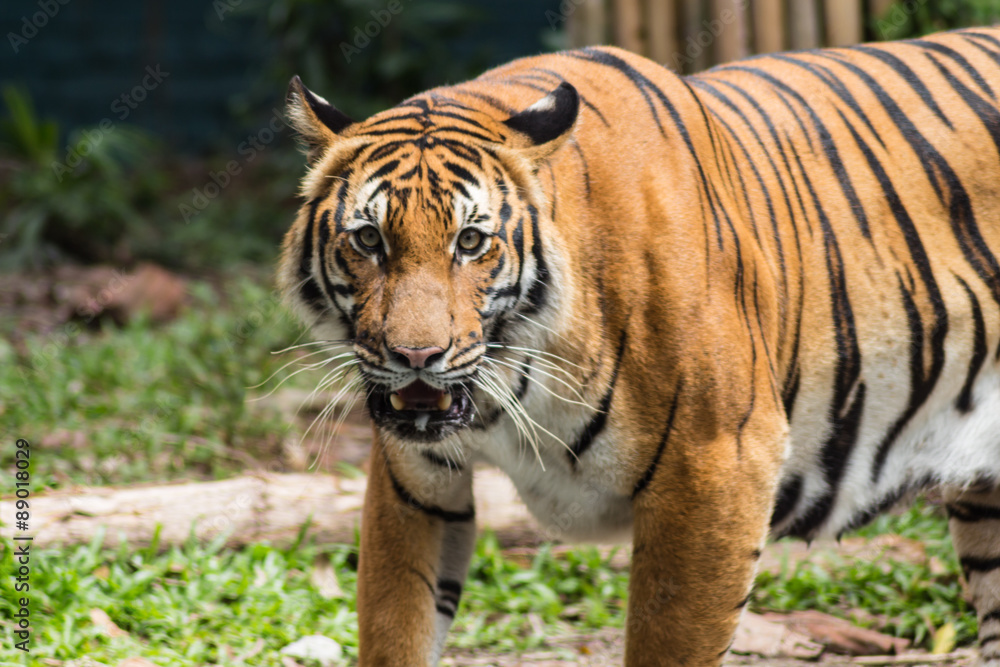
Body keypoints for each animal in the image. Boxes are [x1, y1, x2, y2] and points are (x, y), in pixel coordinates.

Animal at [278, 24, 1000, 667]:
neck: (521, 376)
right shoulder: (416, 485)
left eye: (472, 241)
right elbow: (397, 626)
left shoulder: (719, 464)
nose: (415, 357)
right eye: (369, 239)